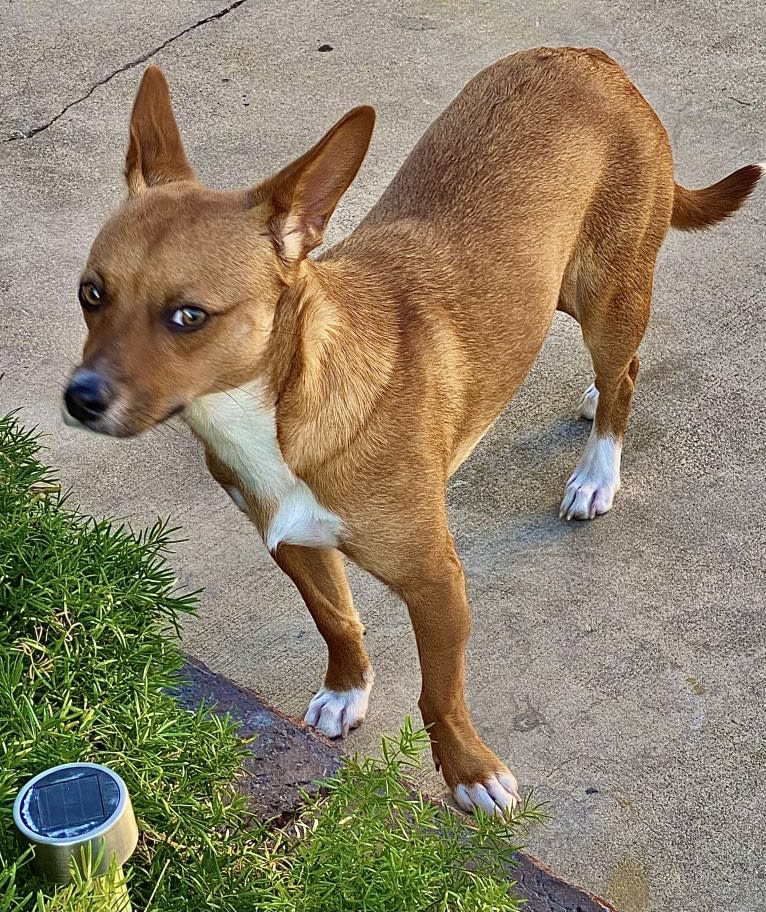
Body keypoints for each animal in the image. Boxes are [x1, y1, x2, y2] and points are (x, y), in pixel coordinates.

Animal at [63, 48, 764, 820]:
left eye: (188, 316)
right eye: (91, 294)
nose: (80, 399)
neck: (277, 413)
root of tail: (591, 59)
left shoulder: (436, 582)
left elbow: (441, 695)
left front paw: (468, 772)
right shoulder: (296, 546)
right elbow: (337, 621)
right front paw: (347, 690)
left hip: (608, 295)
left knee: (624, 373)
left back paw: (596, 472)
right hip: (559, 290)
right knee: (619, 370)